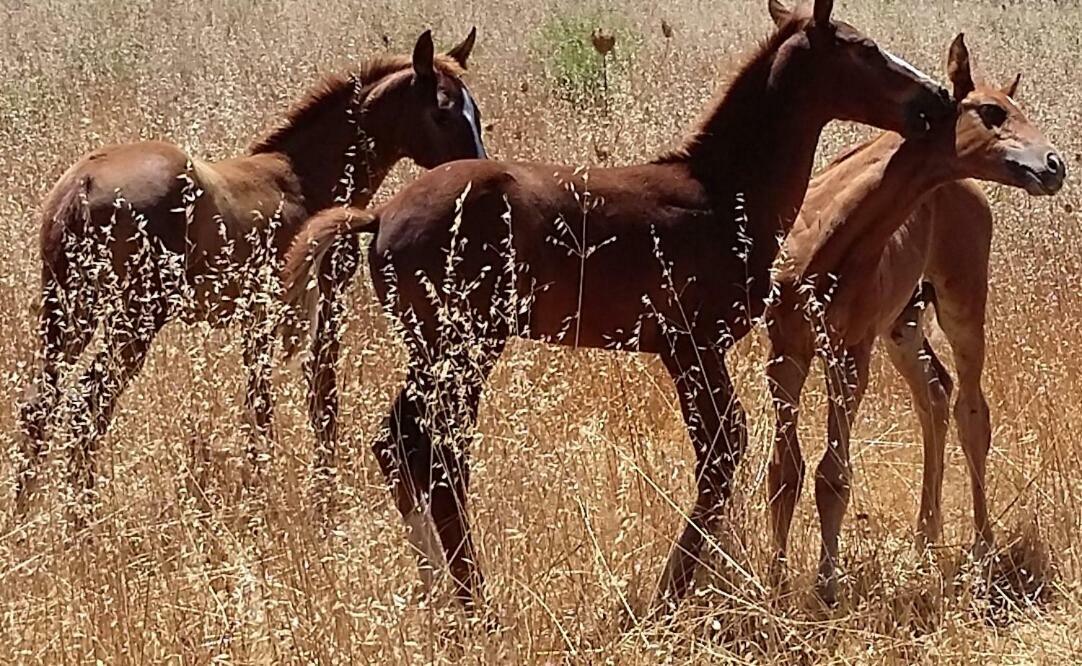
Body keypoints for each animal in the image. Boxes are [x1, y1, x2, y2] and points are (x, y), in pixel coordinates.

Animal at [14, 29, 489, 521]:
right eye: (442, 112)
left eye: (478, 115)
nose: (475, 169)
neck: (302, 175)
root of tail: (83, 183)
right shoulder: (321, 307)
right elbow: (320, 404)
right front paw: (317, 505)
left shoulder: (258, 319)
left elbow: (259, 408)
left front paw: (259, 493)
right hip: (135, 316)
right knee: (88, 406)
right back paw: (81, 521)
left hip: (69, 310)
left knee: (41, 402)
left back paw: (26, 514)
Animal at [283, 0, 952, 614]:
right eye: (864, 49)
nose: (937, 98)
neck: (721, 193)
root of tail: (379, 216)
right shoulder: (692, 346)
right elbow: (721, 453)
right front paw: (670, 595)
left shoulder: (688, 352)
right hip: (463, 345)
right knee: (432, 451)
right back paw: (475, 603)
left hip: (440, 350)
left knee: (404, 446)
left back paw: (440, 596)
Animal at [761, 32, 1064, 605]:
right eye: (992, 111)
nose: (1054, 165)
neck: (830, 238)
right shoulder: (786, 350)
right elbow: (783, 471)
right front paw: (773, 585)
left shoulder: (850, 352)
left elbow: (833, 475)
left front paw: (827, 588)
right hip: (902, 324)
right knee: (937, 393)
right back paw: (927, 538)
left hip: (961, 302)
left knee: (972, 411)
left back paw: (982, 547)